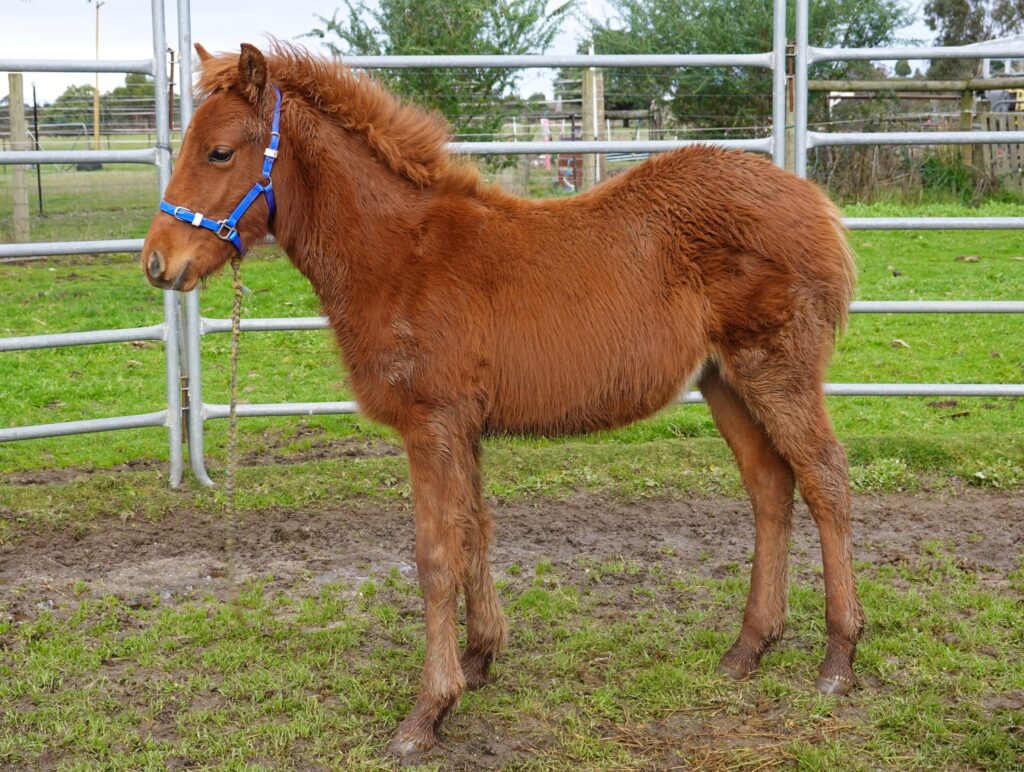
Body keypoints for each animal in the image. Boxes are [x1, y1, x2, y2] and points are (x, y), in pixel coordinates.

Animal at [142, 41, 864, 753]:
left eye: (219, 152)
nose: (156, 261)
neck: (402, 253)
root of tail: (820, 206)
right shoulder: (464, 428)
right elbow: (474, 533)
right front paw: (479, 658)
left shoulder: (431, 425)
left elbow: (435, 556)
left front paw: (427, 712)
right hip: (724, 382)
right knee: (770, 486)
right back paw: (749, 648)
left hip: (776, 373)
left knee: (825, 480)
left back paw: (838, 658)